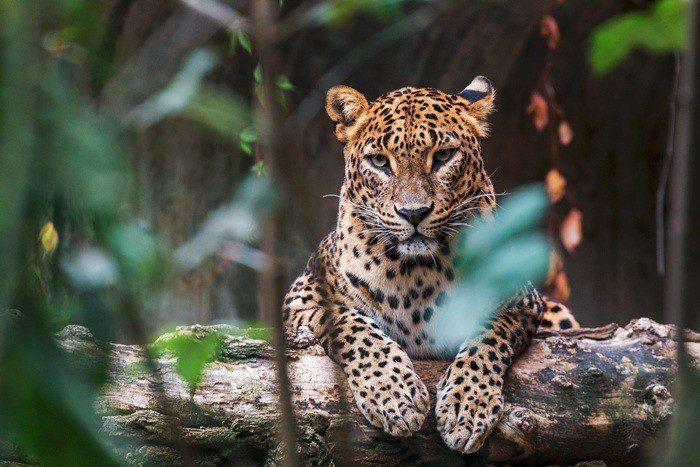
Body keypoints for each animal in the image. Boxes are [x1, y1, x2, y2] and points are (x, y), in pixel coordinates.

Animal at [283, 76, 579, 454]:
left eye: (443, 156)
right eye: (379, 161)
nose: (414, 213)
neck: (416, 272)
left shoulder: (522, 301)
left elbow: (487, 336)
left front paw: (467, 407)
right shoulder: (302, 297)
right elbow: (355, 328)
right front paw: (394, 396)